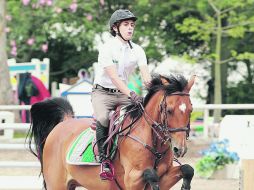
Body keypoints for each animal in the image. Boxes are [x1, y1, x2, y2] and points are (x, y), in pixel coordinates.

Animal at [26, 74, 194, 190]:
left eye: (191, 110)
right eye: (169, 110)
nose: (180, 149)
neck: (152, 141)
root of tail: (64, 122)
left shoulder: (164, 177)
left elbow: (187, 169)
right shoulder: (132, 180)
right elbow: (150, 174)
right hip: (57, 185)